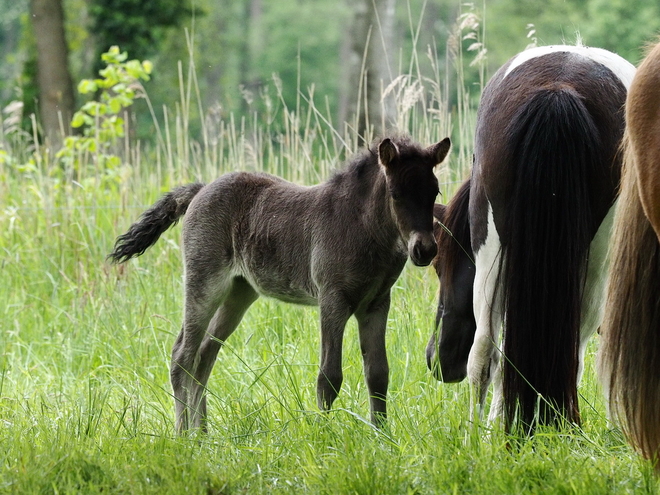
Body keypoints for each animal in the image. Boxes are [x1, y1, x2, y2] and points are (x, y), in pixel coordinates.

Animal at [111, 135, 452, 430]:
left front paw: (382, 435)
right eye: (395, 194)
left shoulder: (376, 303)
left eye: (434, 192)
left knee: (204, 355)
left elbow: (378, 374)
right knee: (182, 355)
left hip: (239, 293)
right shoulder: (333, 300)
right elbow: (329, 377)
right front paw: (326, 435)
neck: (362, 227)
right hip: (205, 284)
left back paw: (204, 433)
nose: (425, 249)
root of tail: (201, 189)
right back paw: (184, 434)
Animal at [426, 46, 636, 434]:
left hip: (496, 250)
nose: (438, 361)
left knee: (485, 351)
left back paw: (480, 437)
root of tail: (558, 87)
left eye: (437, 265)